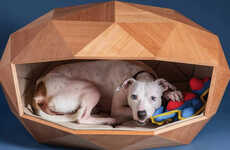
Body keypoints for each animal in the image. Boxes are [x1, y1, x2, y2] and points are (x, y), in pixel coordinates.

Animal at [31, 60, 183, 125]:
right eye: (133, 97)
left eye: (153, 98)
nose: (141, 114)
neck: (141, 75)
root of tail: (41, 84)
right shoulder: (117, 109)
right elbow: (126, 110)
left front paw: (171, 93)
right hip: (92, 88)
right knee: (82, 118)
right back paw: (108, 120)